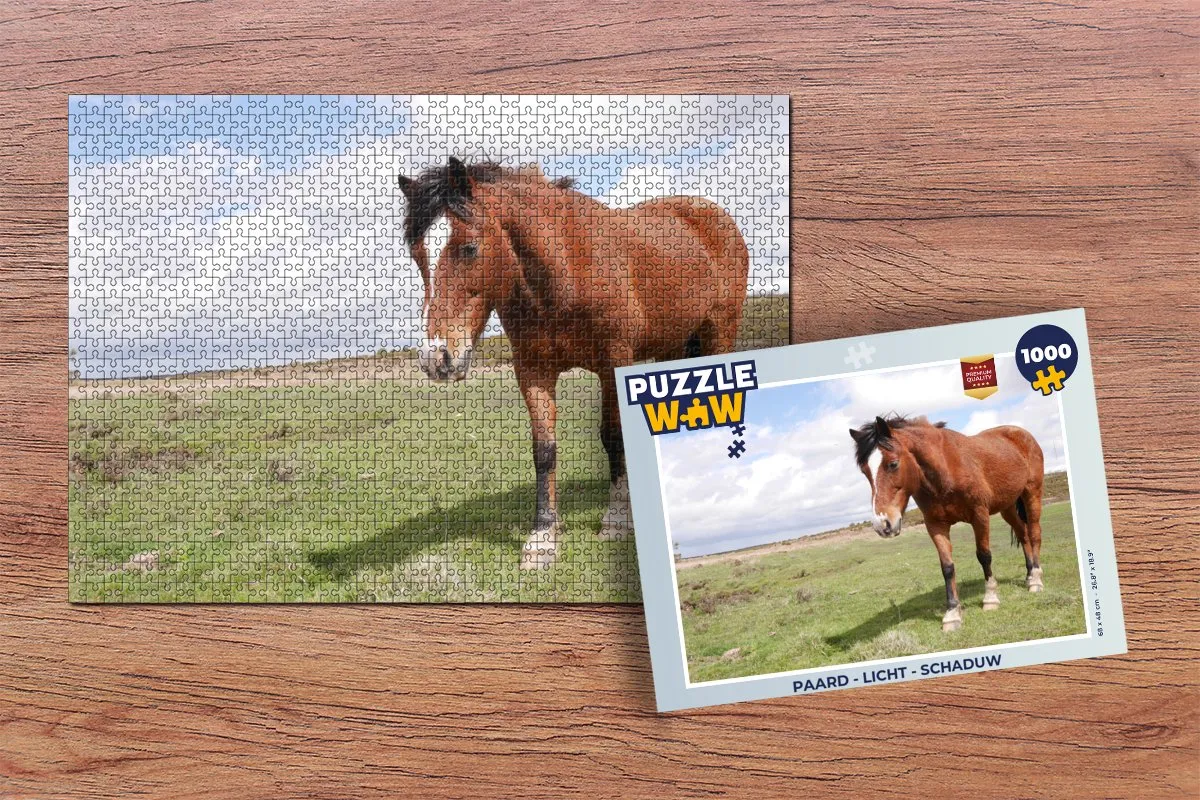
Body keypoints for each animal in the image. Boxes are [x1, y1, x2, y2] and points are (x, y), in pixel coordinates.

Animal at [397, 158, 750, 568]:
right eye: (417, 255)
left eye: (469, 248)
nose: (436, 357)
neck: (563, 272)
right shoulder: (532, 370)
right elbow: (544, 450)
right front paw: (542, 537)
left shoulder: (614, 362)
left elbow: (613, 437)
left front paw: (616, 519)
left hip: (720, 332)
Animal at [849, 415, 1046, 632]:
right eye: (865, 471)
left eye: (892, 464)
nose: (882, 524)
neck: (946, 471)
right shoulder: (935, 525)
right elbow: (947, 567)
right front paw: (952, 613)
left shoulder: (980, 515)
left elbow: (984, 556)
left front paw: (990, 598)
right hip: (1007, 507)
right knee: (1023, 534)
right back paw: (1029, 575)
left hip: (1032, 494)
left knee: (1034, 534)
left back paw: (1036, 579)